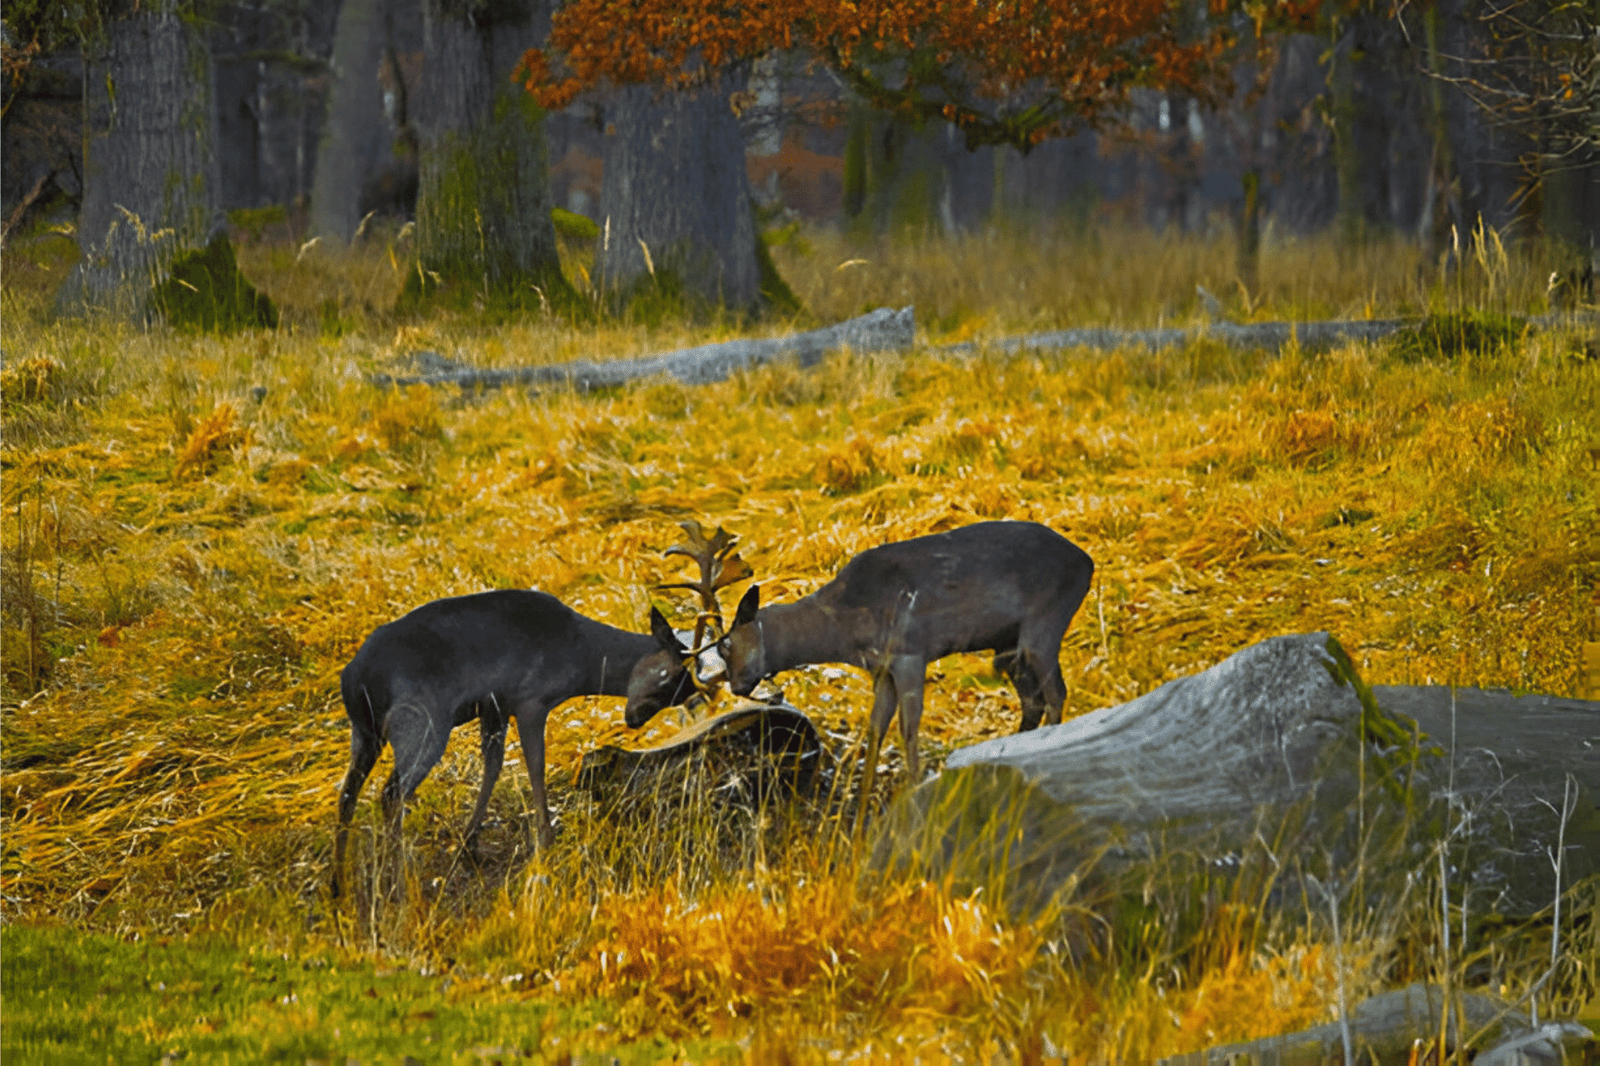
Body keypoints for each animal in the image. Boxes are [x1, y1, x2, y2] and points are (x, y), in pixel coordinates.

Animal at [334, 585, 697, 889]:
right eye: (668, 675)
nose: (633, 719)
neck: (579, 656)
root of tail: (355, 679)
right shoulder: (530, 700)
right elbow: (535, 766)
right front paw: (545, 842)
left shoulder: (494, 706)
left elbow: (493, 767)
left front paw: (470, 844)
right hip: (421, 721)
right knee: (391, 793)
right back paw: (399, 881)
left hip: (365, 733)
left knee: (348, 793)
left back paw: (339, 885)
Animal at [720, 518, 1094, 784]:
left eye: (725, 645)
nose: (736, 686)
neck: (845, 626)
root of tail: (1087, 562)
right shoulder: (882, 668)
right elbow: (876, 729)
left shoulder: (910, 653)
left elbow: (908, 727)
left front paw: (913, 786)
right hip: (1007, 643)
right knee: (1034, 700)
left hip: (1046, 621)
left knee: (1056, 693)